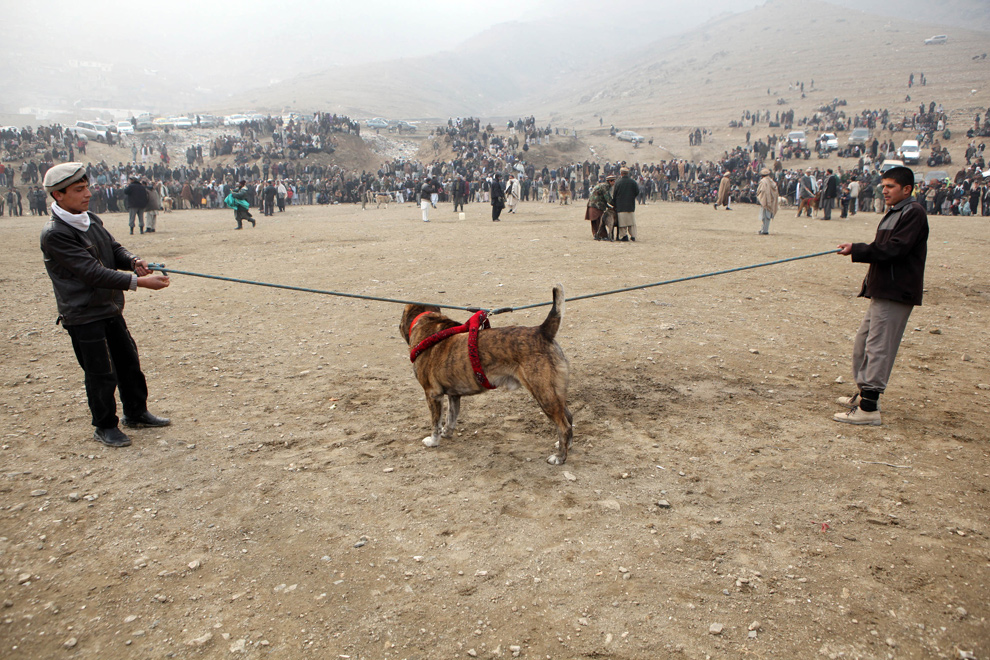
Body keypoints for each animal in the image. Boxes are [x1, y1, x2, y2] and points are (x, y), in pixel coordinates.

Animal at [402, 286, 576, 466]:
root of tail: (542, 331)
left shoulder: (432, 394)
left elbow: (435, 423)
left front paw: (433, 441)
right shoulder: (453, 395)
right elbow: (451, 417)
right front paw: (447, 433)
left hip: (544, 395)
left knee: (563, 426)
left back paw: (560, 457)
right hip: (554, 393)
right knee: (569, 417)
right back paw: (566, 445)